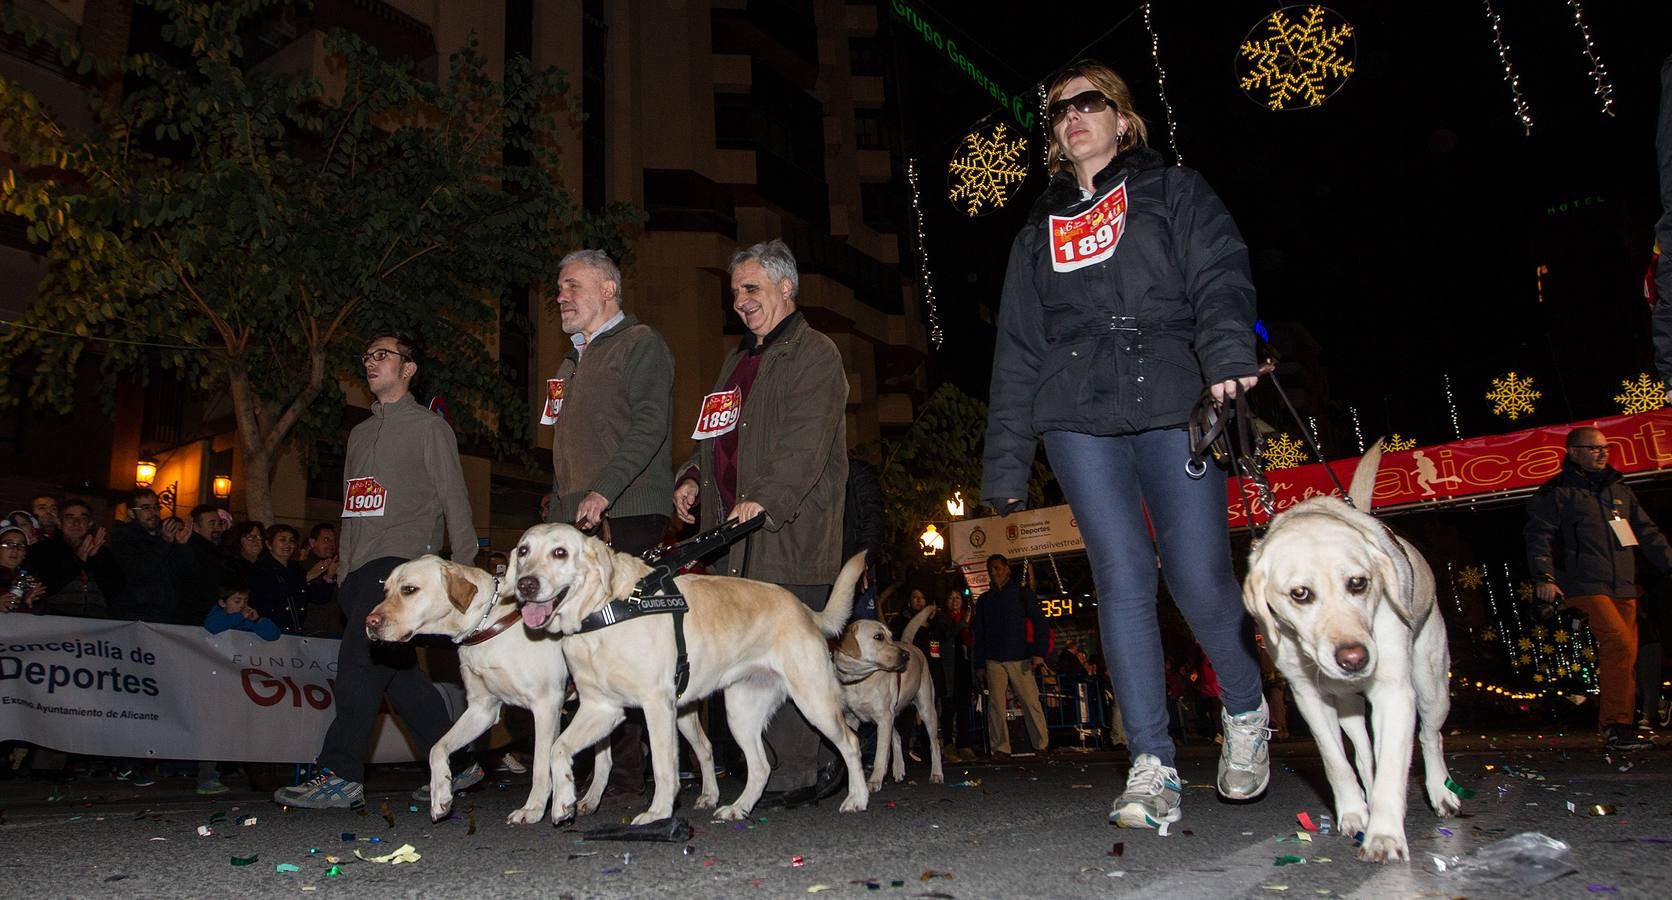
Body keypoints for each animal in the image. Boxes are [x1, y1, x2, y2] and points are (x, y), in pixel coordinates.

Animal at [366, 555, 718, 823]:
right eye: (385, 589)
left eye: (410, 590)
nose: (369, 623)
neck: (488, 624)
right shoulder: (482, 710)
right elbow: (437, 749)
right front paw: (441, 795)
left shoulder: (545, 706)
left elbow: (539, 765)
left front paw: (533, 809)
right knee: (609, 759)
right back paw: (590, 800)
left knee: (704, 747)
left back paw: (709, 796)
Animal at [508, 521, 876, 823]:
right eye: (524, 551)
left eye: (560, 552)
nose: (526, 585)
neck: (605, 610)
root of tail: (804, 609)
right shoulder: (602, 708)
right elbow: (556, 750)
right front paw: (563, 802)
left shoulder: (657, 705)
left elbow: (662, 767)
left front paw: (658, 812)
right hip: (740, 713)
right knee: (759, 767)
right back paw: (738, 808)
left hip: (815, 703)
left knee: (851, 743)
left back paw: (857, 798)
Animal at [832, 605, 943, 789]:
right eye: (879, 637)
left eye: (891, 636)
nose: (906, 656)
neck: (859, 681)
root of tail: (909, 644)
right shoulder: (853, 719)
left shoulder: (883, 718)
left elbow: (880, 755)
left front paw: (875, 780)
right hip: (890, 716)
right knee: (896, 737)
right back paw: (898, 769)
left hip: (926, 710)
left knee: (934, 745)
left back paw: (936, 773)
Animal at [1243, 441, 1464, 863]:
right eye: (1300, 593)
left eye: (1359, 583)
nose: (1354, 659)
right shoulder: (1309, 697)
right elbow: (1336, 761)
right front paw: (1354, 812)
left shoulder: (1395, 692)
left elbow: (1394, 763)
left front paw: (1384, 834)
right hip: (1349, 706)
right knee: (1362, 753)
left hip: (1431, 686)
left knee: (1430, 737)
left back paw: (1440, 791)